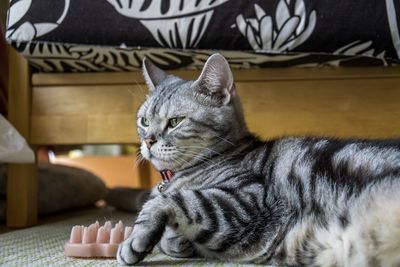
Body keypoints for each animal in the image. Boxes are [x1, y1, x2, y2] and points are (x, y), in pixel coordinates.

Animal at [118, 54, 400, 267]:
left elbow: (173, 201)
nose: (148, 141)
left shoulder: (247, 201)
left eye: (175, 122)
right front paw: (177, 241)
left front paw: (135, 239)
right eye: (144, 121)